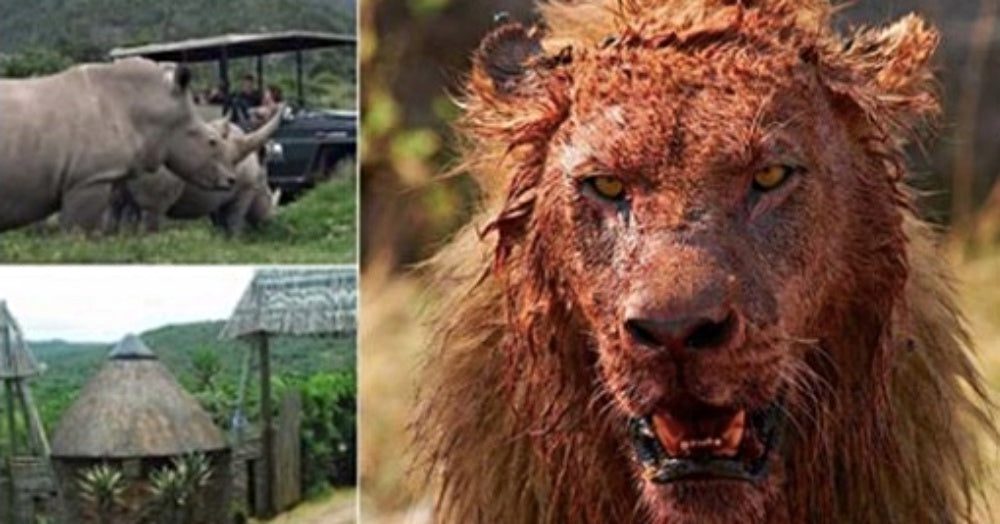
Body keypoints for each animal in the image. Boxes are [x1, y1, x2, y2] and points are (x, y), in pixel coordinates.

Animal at [114, 111, 283, 235]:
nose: (269, 221)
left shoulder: (220, 192)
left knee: (120, 208)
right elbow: (234, 221)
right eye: (269, 199)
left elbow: (219, 221)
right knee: (152, 210)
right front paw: (235, 241)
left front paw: (221, 242)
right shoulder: (244, 191)